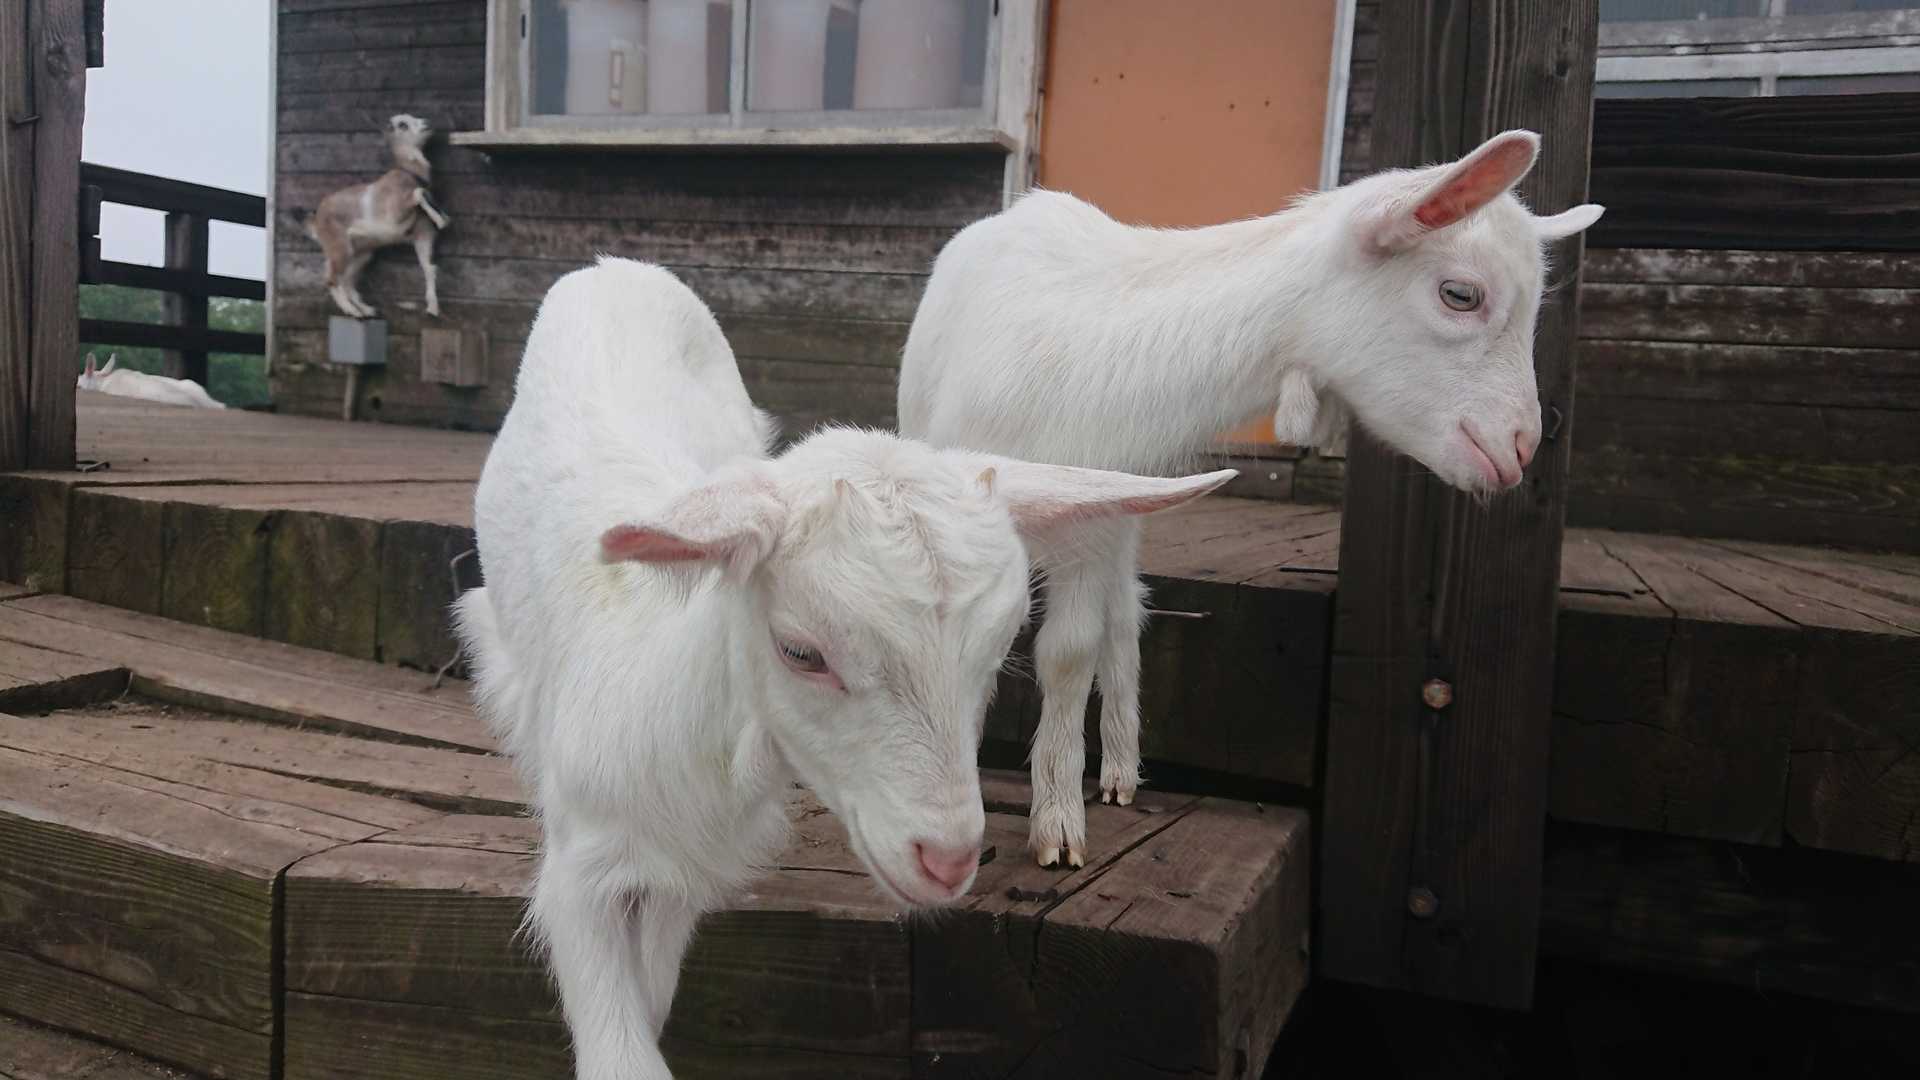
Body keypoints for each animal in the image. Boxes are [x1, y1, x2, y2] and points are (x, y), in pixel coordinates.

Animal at [306, 113, 449, 320]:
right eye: (402, 124)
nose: (427, 123)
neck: (408, 175)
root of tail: (316, 220)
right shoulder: (395, 216)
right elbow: (419, 193)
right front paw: (441, 220)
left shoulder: (423, 236)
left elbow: (429, 269)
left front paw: (433, 308)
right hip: (339, 248)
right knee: (332, 279)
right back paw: (353, 312)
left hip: (362, 254)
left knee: (347, 281)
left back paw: (367, 310)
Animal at [453, 258, 1232, 1080]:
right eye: (801, 652)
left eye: (999, 648)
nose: (948, 859)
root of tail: (616, 268)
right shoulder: (583, 874)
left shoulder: (680, 876)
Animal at [898, 130, 1604, 868]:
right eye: (1461, 294)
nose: (1520, 447)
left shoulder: (1095, 521)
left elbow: (1070, 651)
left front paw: (1058, 824)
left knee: (1126, 610)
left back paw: (1119, 768)